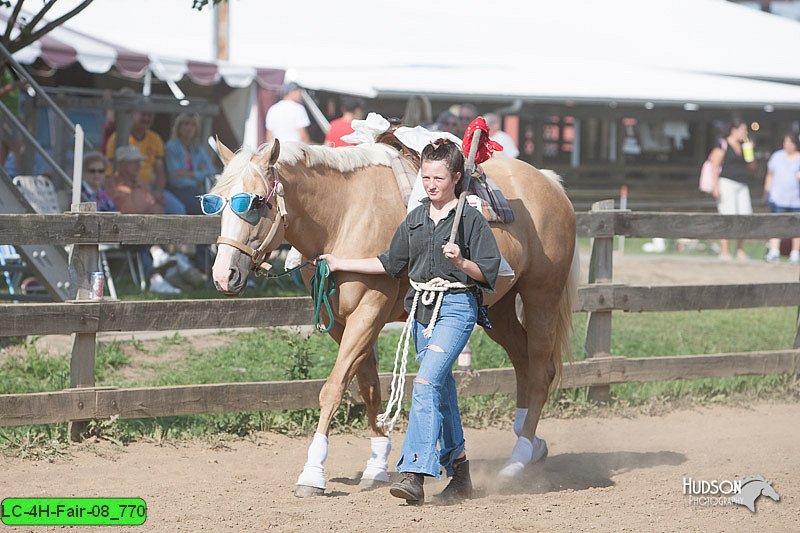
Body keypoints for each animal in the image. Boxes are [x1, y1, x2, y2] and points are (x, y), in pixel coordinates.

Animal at [209, 137, 580, 494]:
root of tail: (549, 182)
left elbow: (334, 388)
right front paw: (375, 467)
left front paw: (312, 473)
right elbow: (369, 386)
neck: (345, 215)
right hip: (498, 310)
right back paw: (532, 445)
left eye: (256, 202)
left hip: (541, 297)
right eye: (218, 202)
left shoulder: (368, 310)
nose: (224, 275)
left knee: (540, 371)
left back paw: (517, 460)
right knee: (523, 362)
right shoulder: (341, 322)